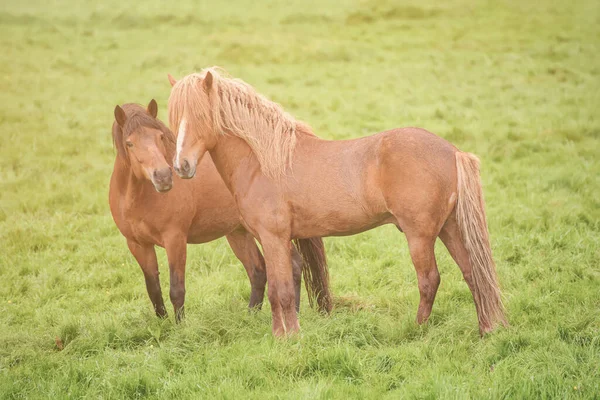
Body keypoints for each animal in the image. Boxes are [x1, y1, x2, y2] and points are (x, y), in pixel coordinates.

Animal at [109, 101, 332, 322]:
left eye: (160, 137)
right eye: (129, 143)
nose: (163, 176)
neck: (138, 198)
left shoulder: (175, 239)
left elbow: (176, 289)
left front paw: (180, 327)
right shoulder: (138, 245)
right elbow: (154, 290)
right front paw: (163, 325)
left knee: (292, 263)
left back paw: (293, 314)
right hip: (239, 232)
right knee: (258, 270)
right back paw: (250, 316)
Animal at [168, 67, 506, 336]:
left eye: (201, 116)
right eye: (174, 119)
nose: (181, 166)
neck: (263, 162)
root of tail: (453, 151)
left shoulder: (273, 238)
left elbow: (281, 291)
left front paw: (287, 339)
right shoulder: (276, 239)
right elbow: (282, 287)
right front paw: (285, 333)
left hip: (420, 235)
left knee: (429, 280)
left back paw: (417, 330)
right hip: (450, 228)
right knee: (473, 274)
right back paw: (486, 330)